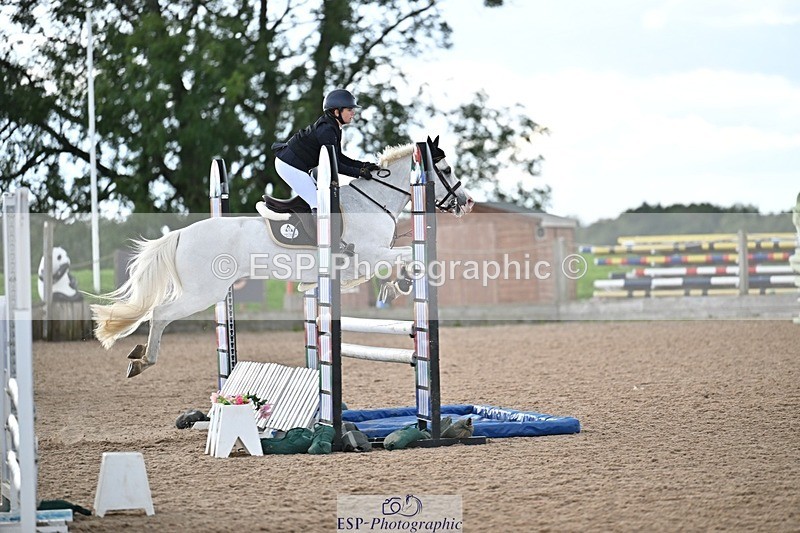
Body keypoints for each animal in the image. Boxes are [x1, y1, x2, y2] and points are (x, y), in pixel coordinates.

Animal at [92, 136, 474, 378]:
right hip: (203, 293)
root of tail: (180, 234)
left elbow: (401, 259)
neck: (371, 202)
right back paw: (142, 361)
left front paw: (400, 284)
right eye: (447, 170)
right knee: (160, 313)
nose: (465, 201)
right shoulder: (367, 256)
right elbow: (405, 255)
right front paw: (404, 281)